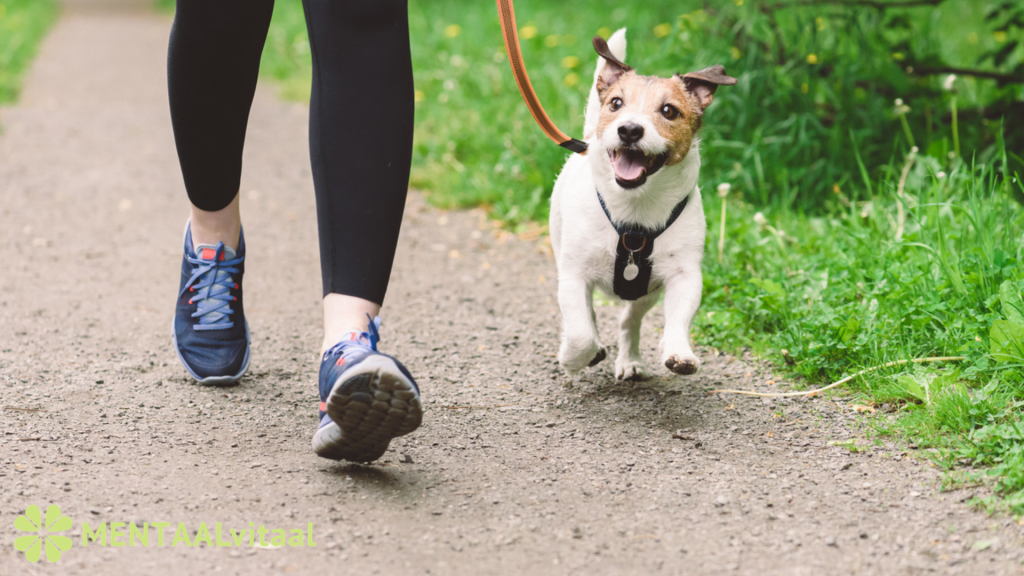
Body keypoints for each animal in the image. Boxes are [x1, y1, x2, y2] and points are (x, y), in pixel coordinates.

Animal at [552, 29, 737, 379]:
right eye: (616, 103)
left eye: (669, 111)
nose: (629, 129)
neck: (635, 212)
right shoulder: (573, 274)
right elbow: (580, 331)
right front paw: (573, 357)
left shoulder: (684, 275)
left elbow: (678, 318)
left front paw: (679, 351)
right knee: (588, 317)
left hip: (645, 293)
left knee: (629, 320)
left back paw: (630, 360)